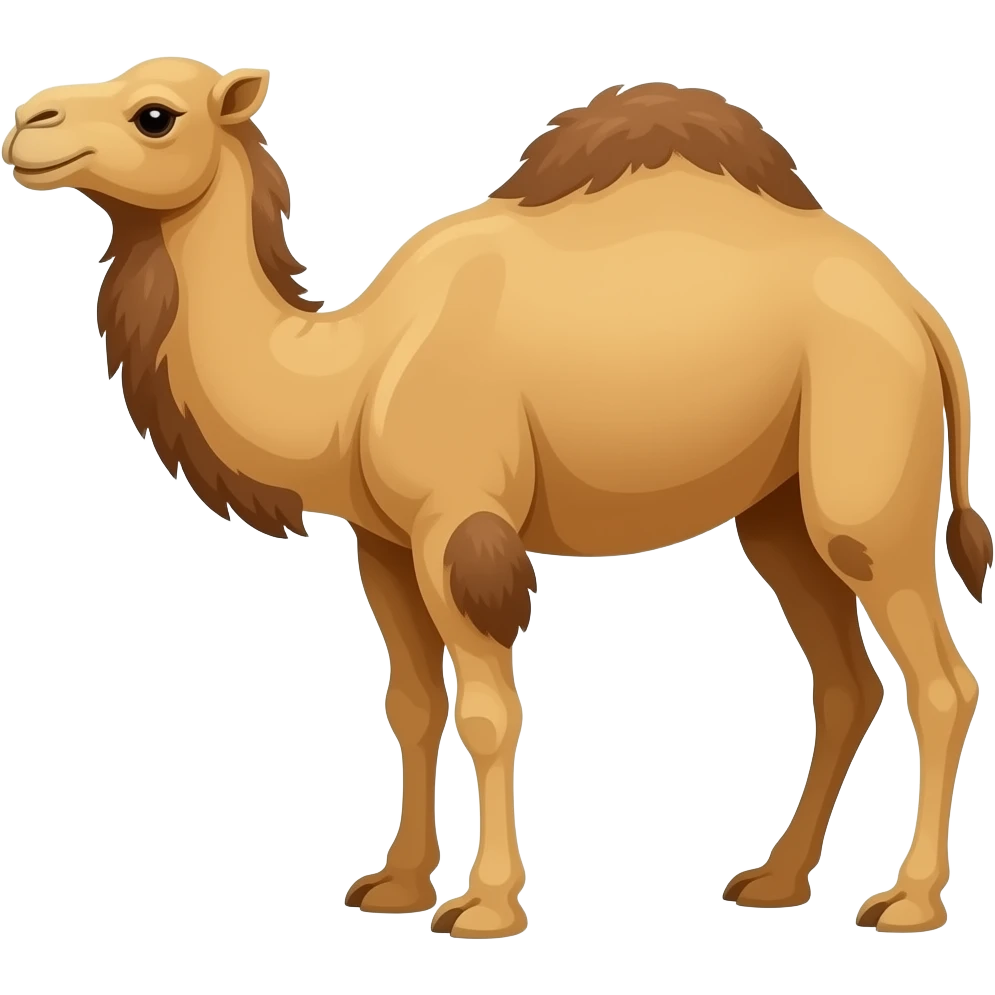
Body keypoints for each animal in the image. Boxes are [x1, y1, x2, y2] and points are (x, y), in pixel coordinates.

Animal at [4, 60, 990, 938]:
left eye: (155, 115)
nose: (27, 123)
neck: (348, 377)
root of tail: (920, 314)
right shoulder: (384, 543)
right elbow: (409, 705)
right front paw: (395, 886)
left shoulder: (461, 524)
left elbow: (487, 713)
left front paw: (484, 907)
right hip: (778, 511)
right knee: (844, 679)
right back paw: (776, 881)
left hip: (867, 488)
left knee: (940, 680)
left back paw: (909, 901)